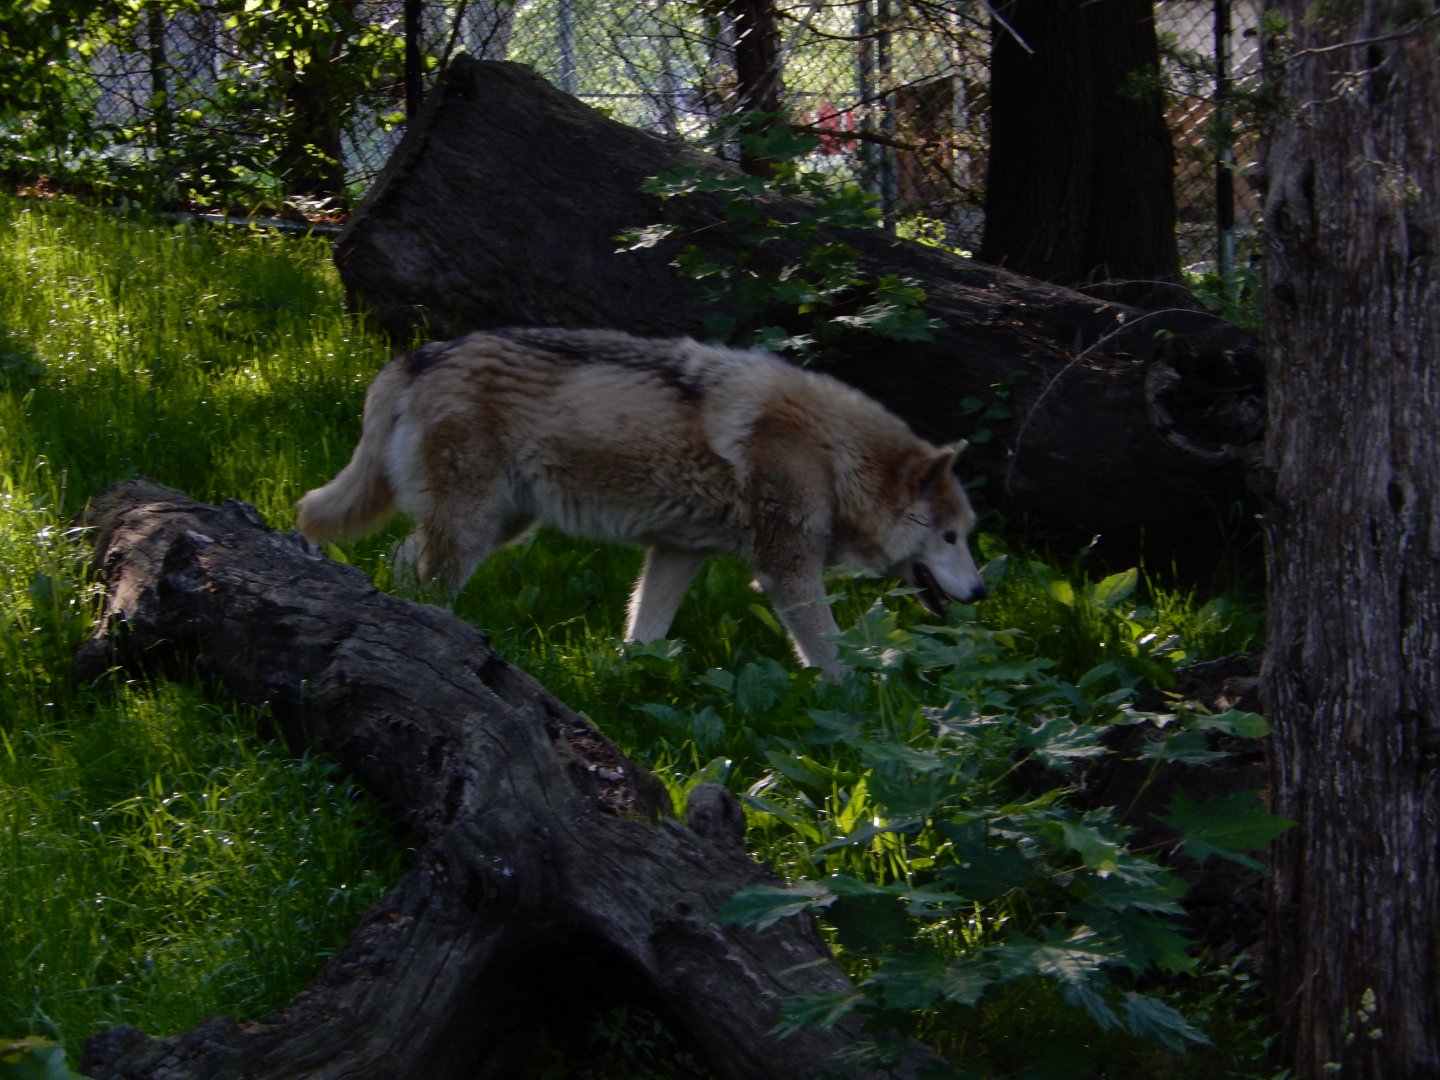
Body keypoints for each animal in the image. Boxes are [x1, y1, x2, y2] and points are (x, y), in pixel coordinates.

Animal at [296, 328, 987, 679]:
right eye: (951, 538)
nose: (982, 593)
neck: (832, 455)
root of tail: (418, 357)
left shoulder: (678, 555)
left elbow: (644, 635)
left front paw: (627, 681)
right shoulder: (786, 571)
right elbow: (833, 655)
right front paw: (863, 709)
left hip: (498, 527)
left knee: (398, 559)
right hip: (473, 530)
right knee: (426, 581)